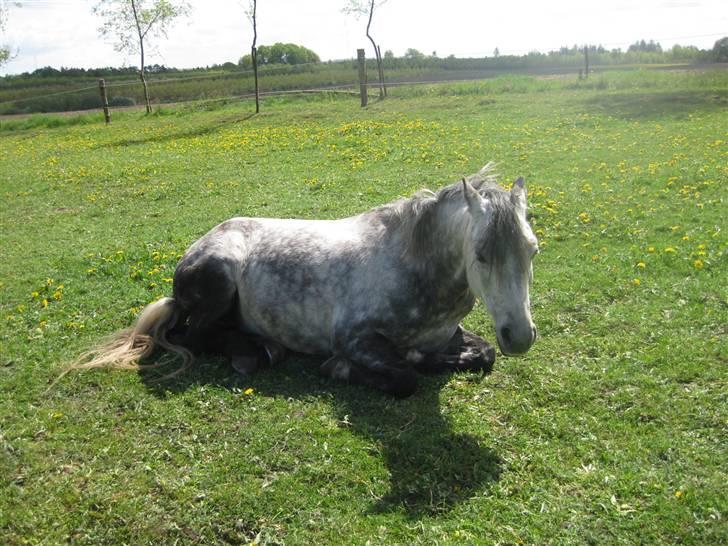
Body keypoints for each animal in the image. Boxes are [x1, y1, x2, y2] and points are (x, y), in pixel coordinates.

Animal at [71, 163, 538, 397]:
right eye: (481, 255)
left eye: (532, 251)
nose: (519, 337)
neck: (413, 265)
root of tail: (196, 248)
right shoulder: (354, 338)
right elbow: (405, 377)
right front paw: (344, 369)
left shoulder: (451, 334)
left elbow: (482, 355)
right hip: (219, 279)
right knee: (195, 337)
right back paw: (256, 353)